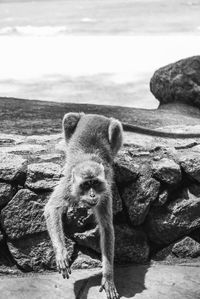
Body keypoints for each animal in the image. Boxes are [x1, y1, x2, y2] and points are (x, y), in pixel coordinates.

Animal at [43, 112, 122, 299]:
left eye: (95, 183)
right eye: (86, 185)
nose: (92, 194)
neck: (88, 158)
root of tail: (95, 114)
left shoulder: (105, 192)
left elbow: (106, 228)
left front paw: (108, 276)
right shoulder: (68, 185)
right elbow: (52, 209)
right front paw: (61, 252)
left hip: (112, 126)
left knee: (115, 127)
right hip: (75, 119)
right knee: (69, 118)